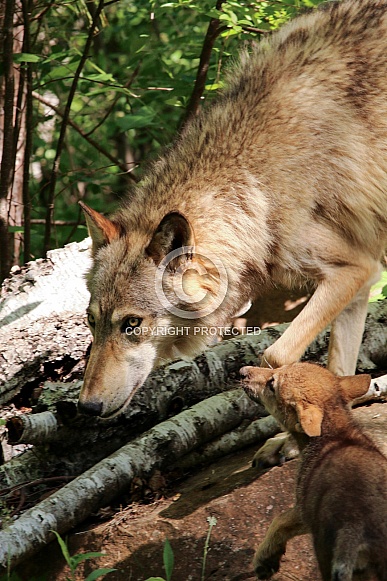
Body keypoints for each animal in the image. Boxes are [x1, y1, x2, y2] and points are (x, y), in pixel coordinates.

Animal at [78, 0, 387, 416]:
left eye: (131, 323)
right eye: (92, 322)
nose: (86, 407)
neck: (254, 183)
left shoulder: (355, 267)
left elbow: (274, 355)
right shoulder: (358, 277)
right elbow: (340, 370)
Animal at [241, 362, 387, 580]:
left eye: (272, 384)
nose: (242, 371)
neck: (335, 436)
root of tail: (355, 530)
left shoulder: (303, 510)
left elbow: (278, 520)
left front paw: (264, 560)